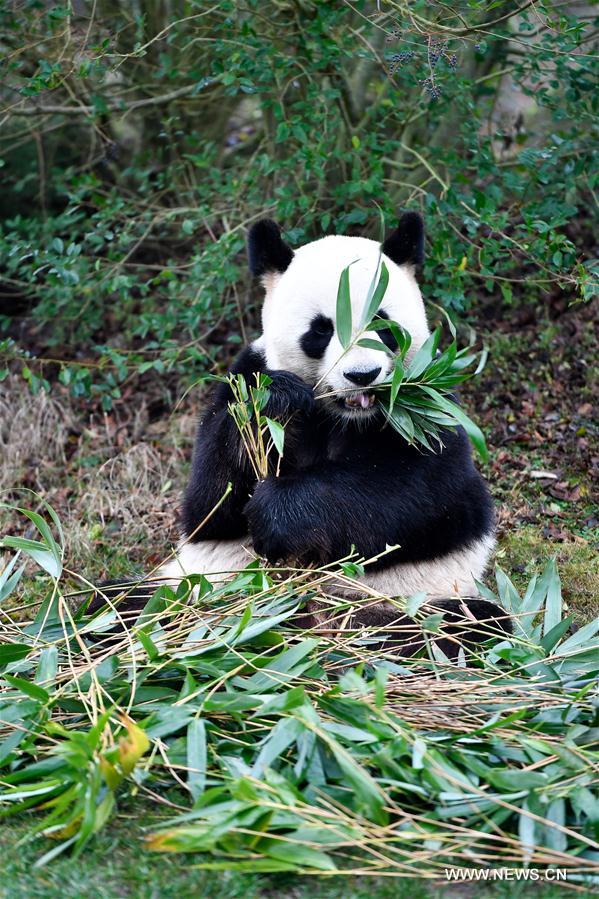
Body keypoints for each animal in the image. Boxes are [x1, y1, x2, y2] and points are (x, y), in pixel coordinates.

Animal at [90, 214, 510, 656]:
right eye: (321, 330)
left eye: (383, 324)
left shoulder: (428, 404)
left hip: (408, 599)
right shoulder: (244, 375)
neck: (342, 417)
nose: (362, 375)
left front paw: (277, 512)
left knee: (470, 625)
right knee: (115, 604)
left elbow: (422, 493)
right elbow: (208, 503)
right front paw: (273, 404)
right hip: (190, 586)